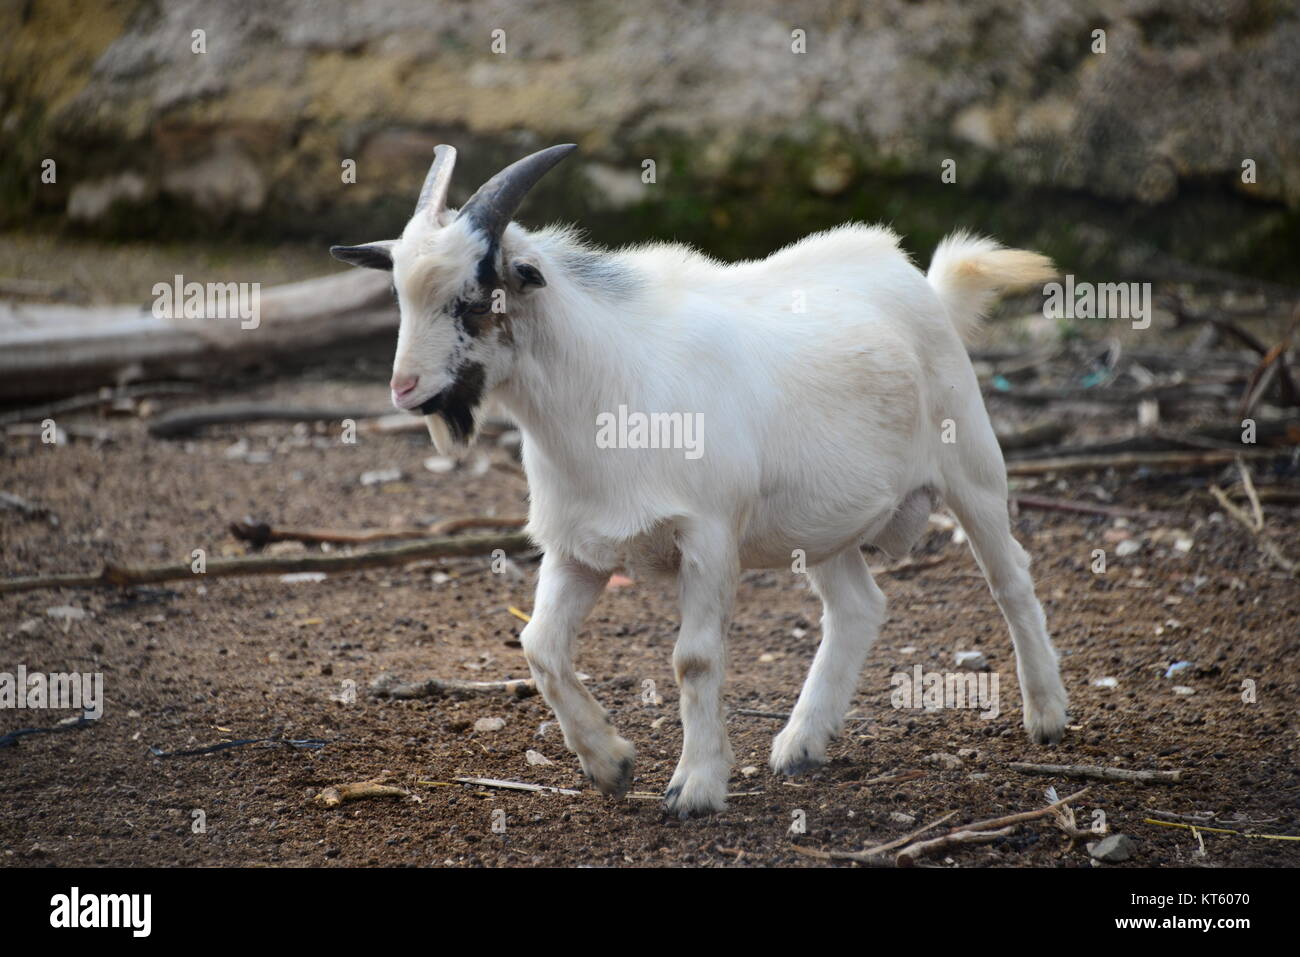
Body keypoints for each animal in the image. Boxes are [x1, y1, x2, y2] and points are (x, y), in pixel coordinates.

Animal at [332, 143, 1066, 816]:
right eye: (399, 295)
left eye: (472, 299)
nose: (405, 389)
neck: (606, 395)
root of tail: (919, 281)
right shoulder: (576, 548)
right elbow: (539, 647)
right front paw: (611, 763)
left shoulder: (708, 536)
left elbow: (694, 658)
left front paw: (696, 787)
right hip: (823, 520)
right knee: (857, 606)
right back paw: (801, 744)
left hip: (972, 464)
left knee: (1011, 577)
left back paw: (1047, 716)